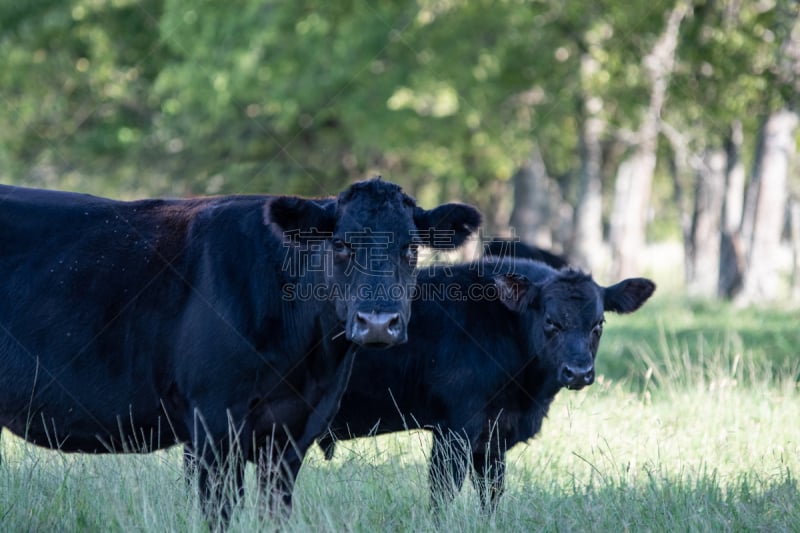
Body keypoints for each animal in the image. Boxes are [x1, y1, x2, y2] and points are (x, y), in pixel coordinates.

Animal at [0, 180, 482, 524]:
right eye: (341, 245)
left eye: (411, 247)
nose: (378, 322)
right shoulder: (213, 420)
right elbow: (219, 512)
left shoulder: (295, 430)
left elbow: (274, 513)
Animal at [318, 260, 656, 510]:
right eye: (550, 321)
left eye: (599, 323)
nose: (578, 372)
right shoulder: (454, 429)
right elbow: (443, 493)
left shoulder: (493, 438)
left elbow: (491, 493)